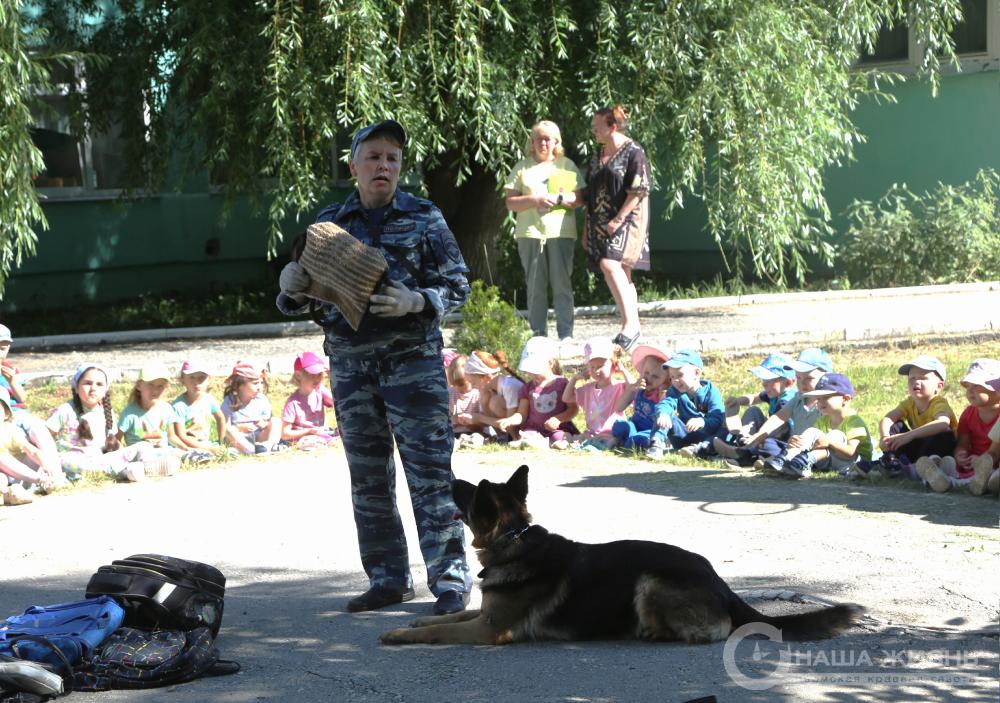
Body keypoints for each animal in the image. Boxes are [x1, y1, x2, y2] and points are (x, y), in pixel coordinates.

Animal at [378, 464, 864, 648]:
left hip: (649, 581)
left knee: (707, 633)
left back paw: (651, 632)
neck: (515, 538)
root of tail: (722, 585)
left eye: (468, 493)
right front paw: (414, 622)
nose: (447, 480)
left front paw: (399, 634)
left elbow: (438, 632)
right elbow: (449, 617)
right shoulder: (482, 615)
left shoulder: (488, 629)